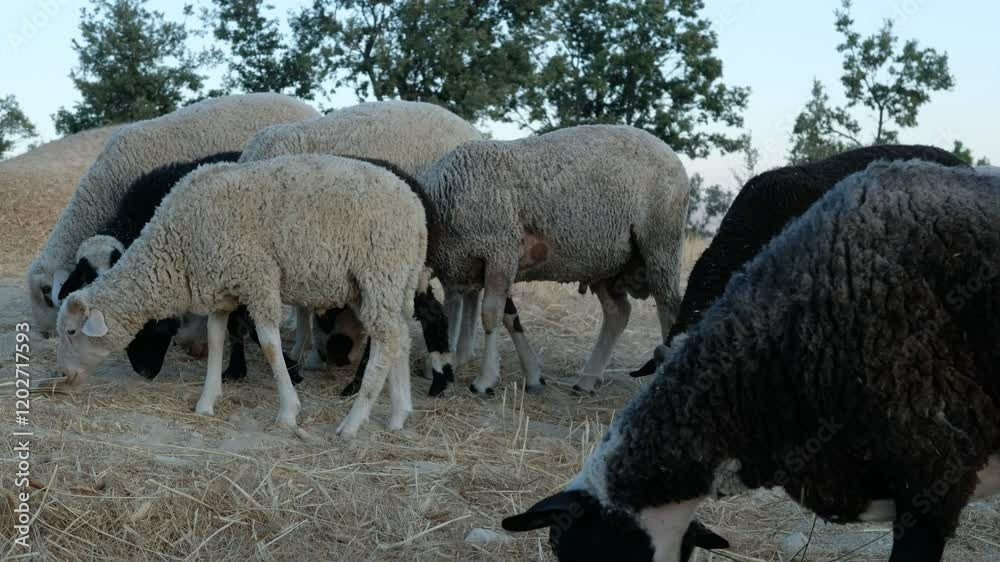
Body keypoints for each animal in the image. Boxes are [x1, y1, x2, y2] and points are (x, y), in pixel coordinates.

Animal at [56, 154, 428, 436]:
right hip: (391, 282)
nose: (64, 376)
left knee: (386, 340)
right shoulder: (221, 290)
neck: (176, 245)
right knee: (401, 337)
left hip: (379, 272)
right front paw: (206, 402)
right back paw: (398, 415)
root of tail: (414, 205)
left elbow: (269, 344)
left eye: (72, 331)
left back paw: (352, 423)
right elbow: (216, 338)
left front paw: (288, 411)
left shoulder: (258, 277)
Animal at [419, 124, 689, 395]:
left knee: (669, 309)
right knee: (618, 313)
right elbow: (482, 315)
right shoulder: (463, 269)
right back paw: (586, 381)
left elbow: (490, 315)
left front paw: (484, 380)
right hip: (604, 264)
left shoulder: (500, 253)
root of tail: (668, 150)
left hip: (661, 245)